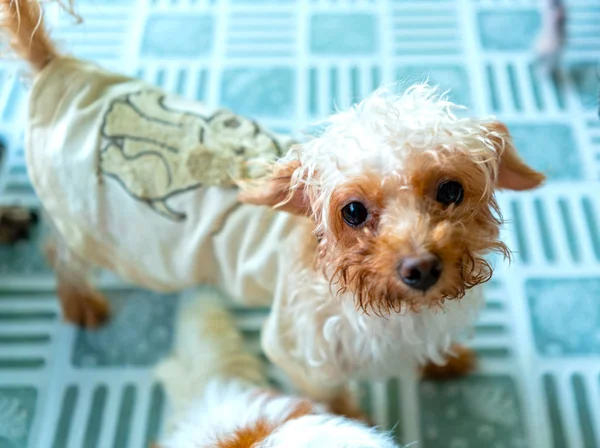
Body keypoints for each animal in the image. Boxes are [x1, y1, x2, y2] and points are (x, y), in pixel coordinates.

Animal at [0, 0, 544, 412]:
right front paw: (352, 426)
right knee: (60, 253)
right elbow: (335, 401)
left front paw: (444, 361)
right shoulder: (300, 353)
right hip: (116, 238)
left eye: (450, 191)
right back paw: (78, 299)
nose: (421, 268)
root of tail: (58, 69)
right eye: (353, 212)